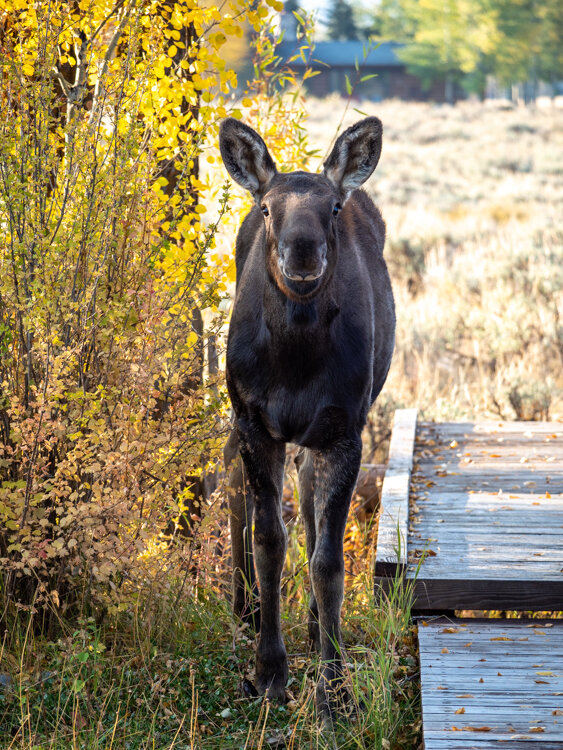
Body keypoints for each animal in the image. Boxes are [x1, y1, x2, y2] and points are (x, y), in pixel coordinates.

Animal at [220, 116, 396, 716]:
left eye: (333, 208)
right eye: (269, 208)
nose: (301, 253)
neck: (295, 360)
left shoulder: (345, 431)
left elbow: (327, 560)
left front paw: (334, 687)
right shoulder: (255, 421)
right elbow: (271, 539)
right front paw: (269, 672)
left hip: (317, 433)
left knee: (309, 494)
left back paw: (318, 626)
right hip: (241, 418)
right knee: (231, 474)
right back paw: (245, 605)